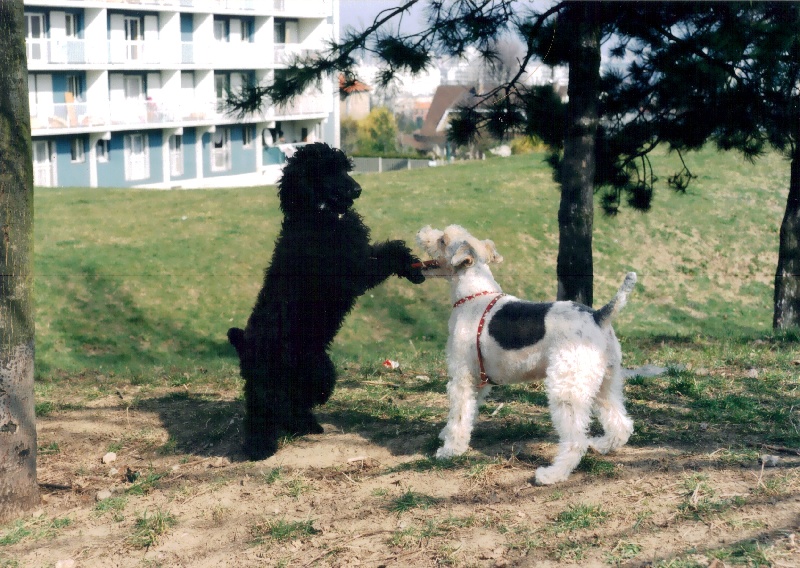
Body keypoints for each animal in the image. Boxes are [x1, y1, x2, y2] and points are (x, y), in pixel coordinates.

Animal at [227, 143, 424, 462]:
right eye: (327, 170)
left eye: (344, 167)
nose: (357, 189)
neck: (314, 215)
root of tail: (244, 343)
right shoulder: (353, 269)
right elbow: (386, 254)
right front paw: (408, 264)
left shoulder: (360, 252)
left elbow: (388, 249)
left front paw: (413, 267)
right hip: (280, 379)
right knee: (264, 411)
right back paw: (260, 447)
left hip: (315, 372)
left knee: (291, 405)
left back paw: (304, 426)